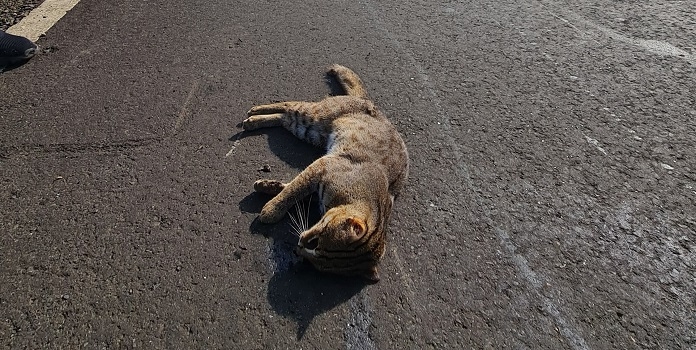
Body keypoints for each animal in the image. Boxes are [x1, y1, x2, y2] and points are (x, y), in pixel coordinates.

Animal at [243, 63, 408, 282]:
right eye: (315, 242)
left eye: (317, 264)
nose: (297, 249)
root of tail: (368, 101)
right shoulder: (324, 165)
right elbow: (293, 191)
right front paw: (272, 209)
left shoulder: (318, 181)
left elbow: (293, 189)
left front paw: (269, 187)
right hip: (314, 116)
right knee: (288, 104)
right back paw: (255, 113)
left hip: (309, 130)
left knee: (284, 117)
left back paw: (256, 119)